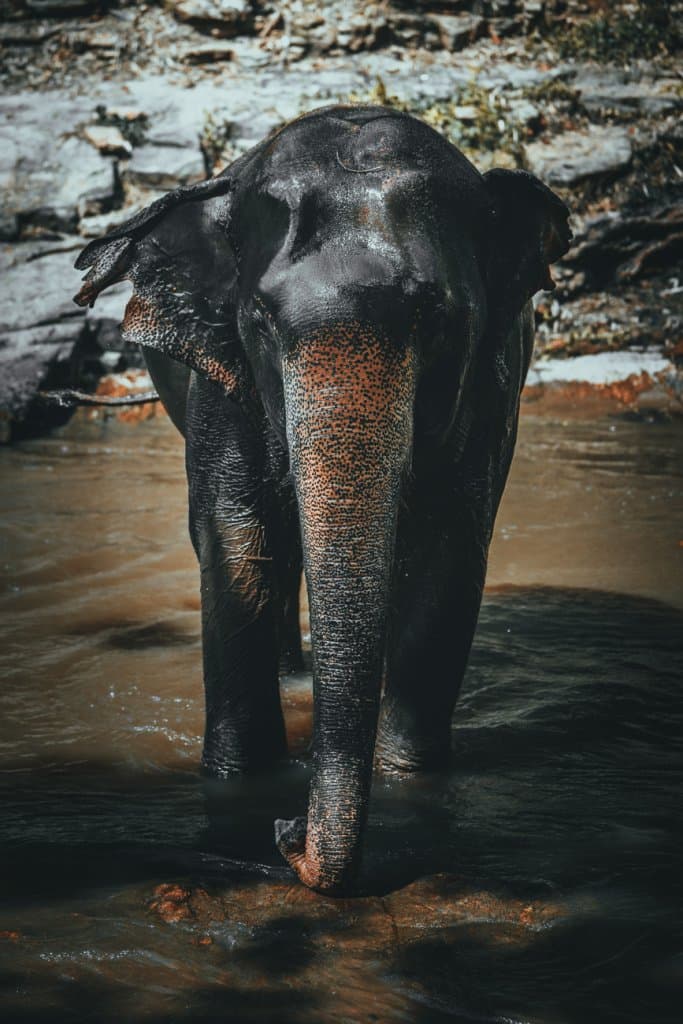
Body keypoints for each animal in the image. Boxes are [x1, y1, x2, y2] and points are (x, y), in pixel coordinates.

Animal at [73, 104, 571, 895]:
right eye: (260, 322)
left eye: (439, 320)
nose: (287, 835)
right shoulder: (222, 379)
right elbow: (234, 539)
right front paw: (242, 788)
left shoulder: (493, 384)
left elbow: (450, 552)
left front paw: (408, 782)